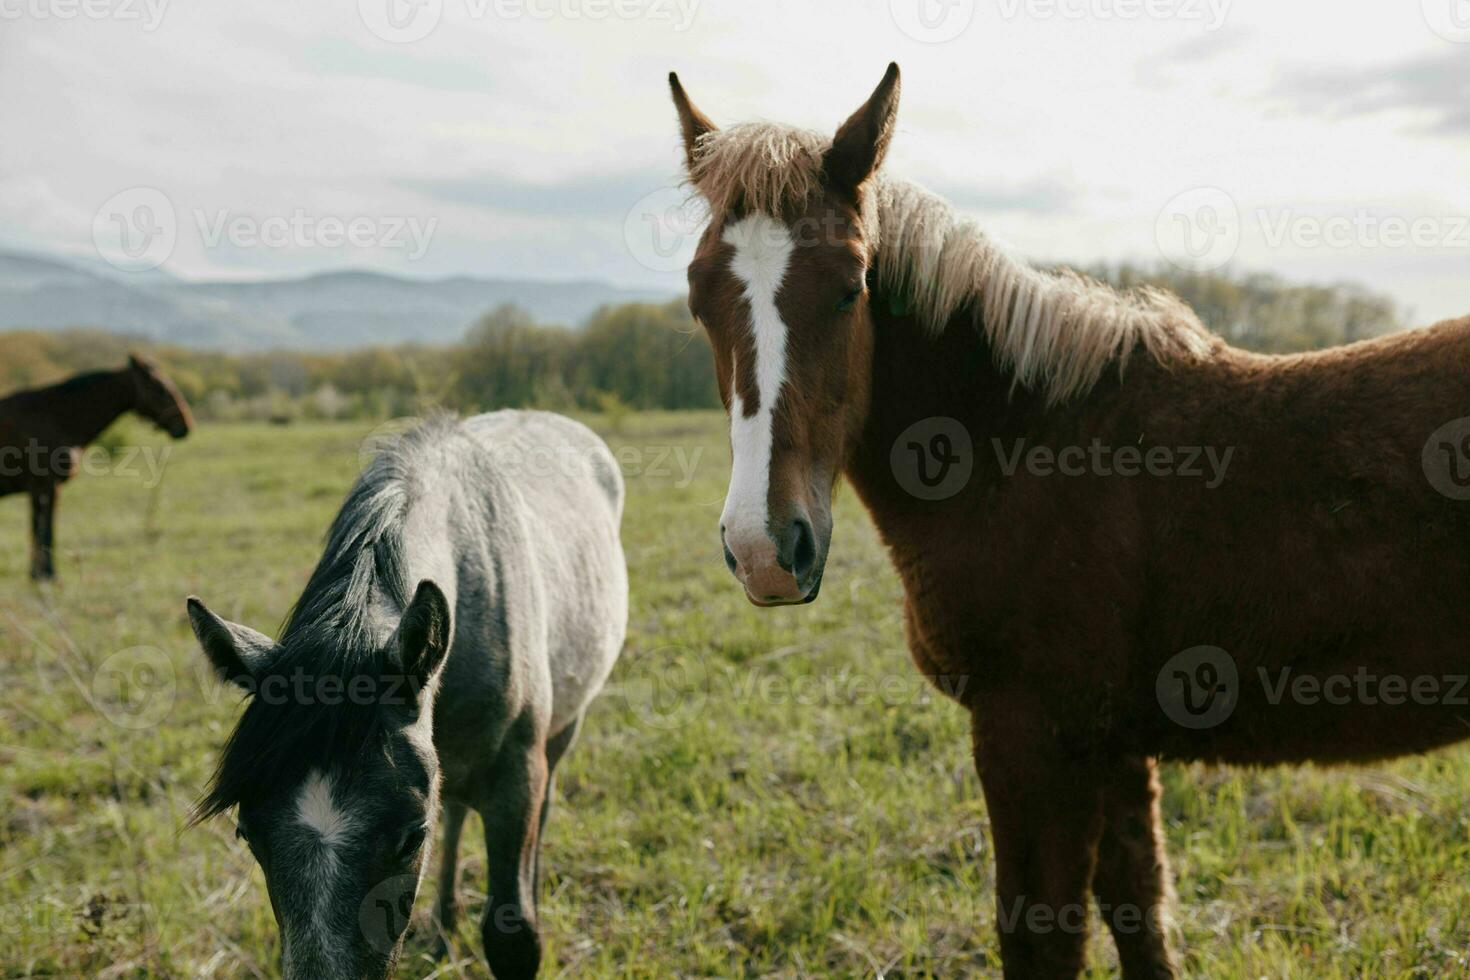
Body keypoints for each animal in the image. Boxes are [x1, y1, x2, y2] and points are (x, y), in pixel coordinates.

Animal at [0, 354, 194, 578]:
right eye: (159, 387)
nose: (185, 425)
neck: (54, 417)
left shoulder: (39, 490)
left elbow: (37, 528)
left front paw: (37, 574)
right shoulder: (45, 486)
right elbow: (45, 530)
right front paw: (47, 574)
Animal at [673, 63, 1470, 980]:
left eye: (851, 287)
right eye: (698, 297)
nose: (765, 549)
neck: (1021, 446)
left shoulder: (1034, 736)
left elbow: (1042, 935)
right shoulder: (1113, 744)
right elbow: (1139, 915)